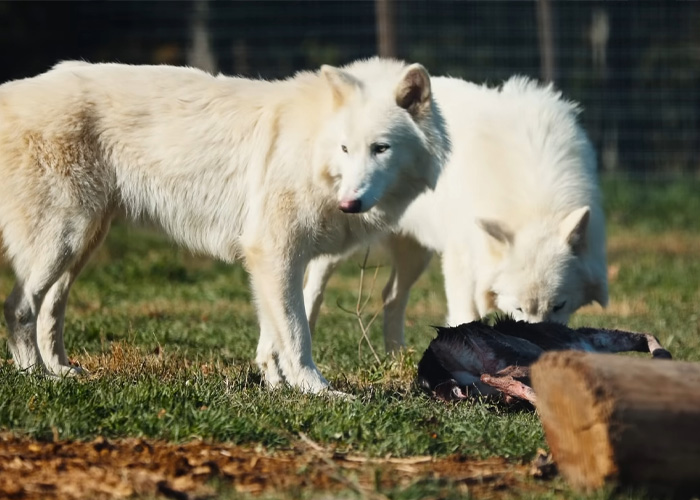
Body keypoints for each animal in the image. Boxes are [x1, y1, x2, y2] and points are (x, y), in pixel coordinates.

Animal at [0, 58, 449, 392]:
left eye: (380, 148)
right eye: (345, 148)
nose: (349, 203)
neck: (312, 147)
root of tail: (10, 91)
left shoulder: (277, 264)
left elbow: (274, 334)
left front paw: (276, 384)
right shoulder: (275, 254)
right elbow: (297, 335)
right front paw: (317, 391)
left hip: (82, 244)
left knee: (49, 310)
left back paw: (61, 370)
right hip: (65, 240)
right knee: (19, 307)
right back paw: (35, 377)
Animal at [304, 76, 608, 352]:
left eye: (558, 306)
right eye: (519, 309)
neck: (533, 195)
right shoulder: (461, 259)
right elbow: (466, 316)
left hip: (415, 257)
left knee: (391, 297)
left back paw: (396, 356)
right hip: (341, 244)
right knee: (313, 287)